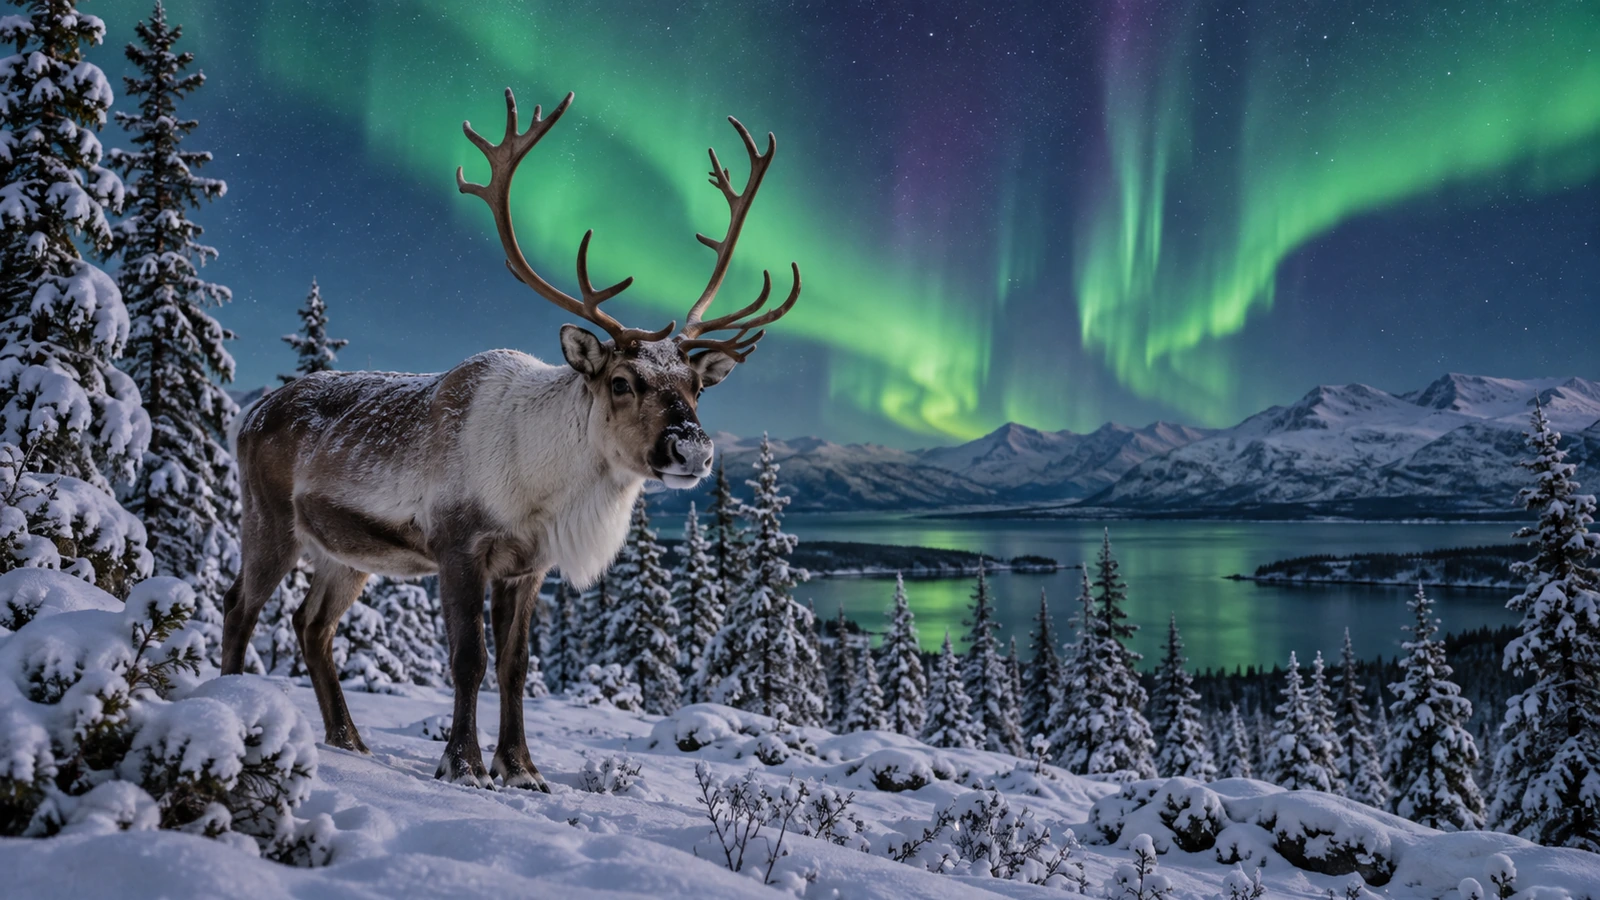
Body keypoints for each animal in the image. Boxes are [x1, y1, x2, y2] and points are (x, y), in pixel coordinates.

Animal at [218, 88, 800, 790]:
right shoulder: (459, 547)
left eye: (695, 385)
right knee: (238, 606)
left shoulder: (528, 567)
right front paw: (464, 764)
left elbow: (514, 667)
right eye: (622, 381)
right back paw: (230, 705)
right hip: (269, 520)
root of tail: (248, 413)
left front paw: (522, 768)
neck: (544, 486)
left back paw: (348, 739)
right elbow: (468, 658)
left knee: (310, 625)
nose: (693, 450)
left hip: (345, 552)